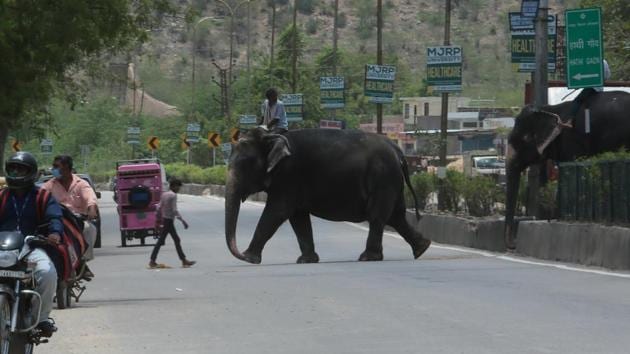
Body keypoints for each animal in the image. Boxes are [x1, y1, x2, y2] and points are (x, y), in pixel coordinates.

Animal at [225, 127, 432, 262]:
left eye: (244, 164)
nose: (240, 253)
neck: (273, 136)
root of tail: (399, 152)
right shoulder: (292, 183)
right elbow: (298, 217)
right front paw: (306, 260)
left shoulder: (288, 176)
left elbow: (277, 211)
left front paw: (249, 258)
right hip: (391, 181)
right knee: (396, 216)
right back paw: (422, 249)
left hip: (383, 178)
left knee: (378, 216)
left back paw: (368, 258)